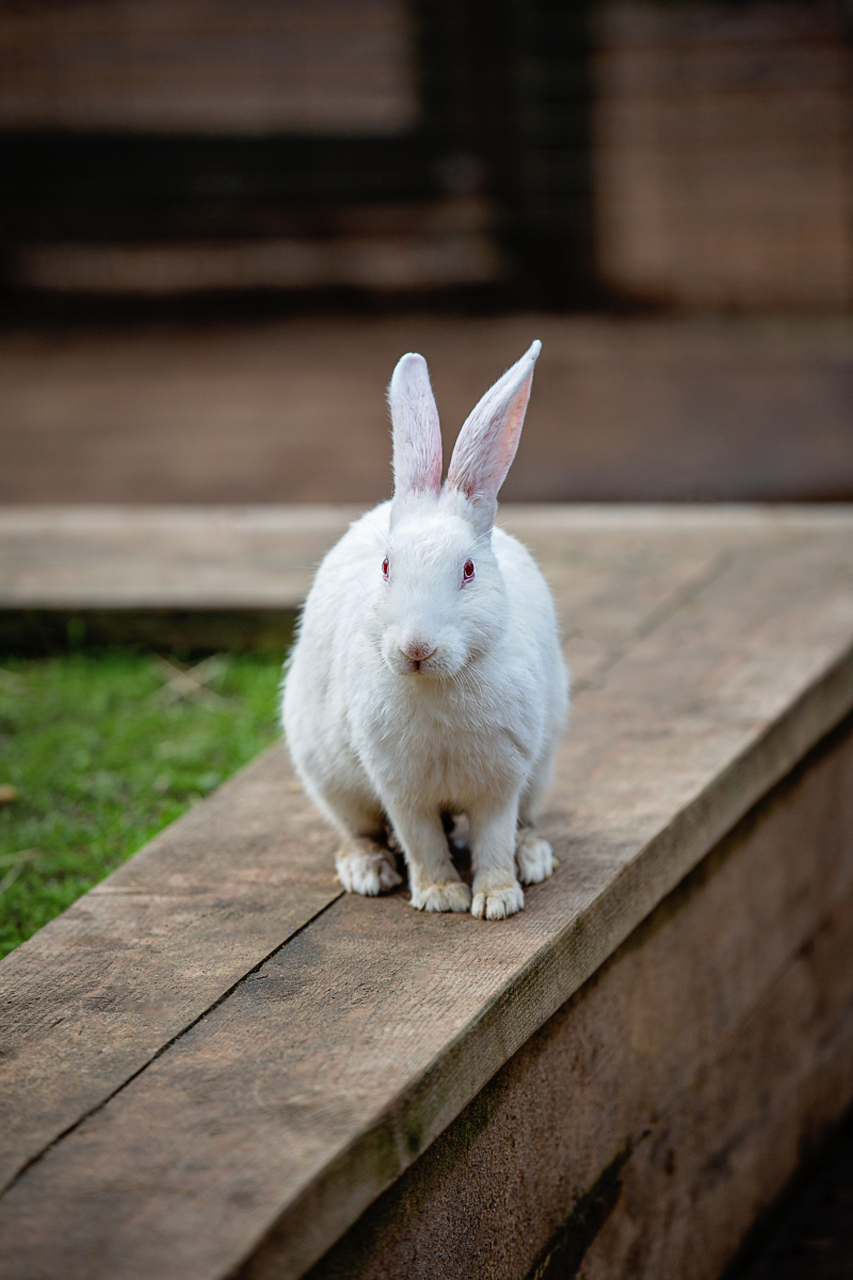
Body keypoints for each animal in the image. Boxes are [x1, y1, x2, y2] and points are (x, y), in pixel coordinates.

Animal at [281, 343, 568, 921]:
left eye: (469, 570)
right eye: (387, 566)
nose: (416, 647)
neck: (438, 683)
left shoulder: (501, 784)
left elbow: (493, 839)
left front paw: (497, 900)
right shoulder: (401, 788)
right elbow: (422, 841)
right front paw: (440, 897)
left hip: (540, 772)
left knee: (522, 825)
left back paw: (534, 858)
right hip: (330, 780)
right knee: (362, 832)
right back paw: (367, 871)